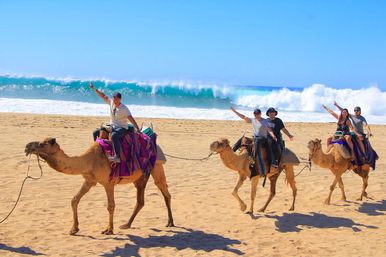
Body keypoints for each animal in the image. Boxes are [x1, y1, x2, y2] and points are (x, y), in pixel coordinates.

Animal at [23, 137, 173, 235]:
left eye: (42, 144)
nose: (27, 147)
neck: (88, 160)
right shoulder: (89, 181)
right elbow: (74, 200)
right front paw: (74, 229)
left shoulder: (108, 183)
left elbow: (111, 206)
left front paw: (109, 230)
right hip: (142, 175)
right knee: (144, 199)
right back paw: (128, 224)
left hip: (155, 166)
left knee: (161, 189)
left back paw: (169, 222)